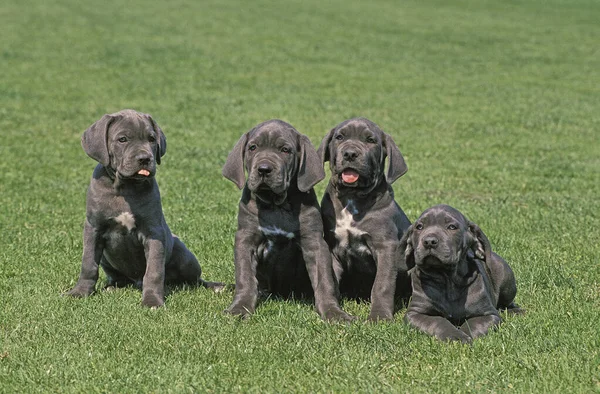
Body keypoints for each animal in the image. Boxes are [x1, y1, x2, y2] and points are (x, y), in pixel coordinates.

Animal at [64, 108, 223, 308]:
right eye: (122, 139)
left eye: (151, 139)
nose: (145, 158)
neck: (125, 186)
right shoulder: (93, 228)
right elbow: (88, 263)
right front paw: (80, 292)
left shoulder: (153, 232)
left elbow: (154, 271)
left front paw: (152, 301)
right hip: (107, 260)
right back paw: (113, 287)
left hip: (185, 256)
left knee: (194, 280)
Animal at [223, 119, 354, 320]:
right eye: (253, 147)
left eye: (285, 150)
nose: (264, 169)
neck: (276, 204)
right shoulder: (246, 239)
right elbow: (245, 277)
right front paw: (240, 308)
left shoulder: (314, 242)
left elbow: (324, 280)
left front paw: (333, 312)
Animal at [318, 116, 412, 320]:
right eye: (339, 137)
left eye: (370, 140)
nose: (350, 154)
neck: (351, 196)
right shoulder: (331, 247)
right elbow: (330, 281)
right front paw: (334, 312)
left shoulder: (386, 247)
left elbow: (382, 284)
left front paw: (379, 316)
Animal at [400, 205, 524, 344]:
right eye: (419, 227)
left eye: (452, 227)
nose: (429, 241)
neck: (448, 279)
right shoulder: (415, 313)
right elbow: (437, 321)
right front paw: (456, 336)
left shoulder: (488, 314)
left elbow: (473, 324)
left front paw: (463, 335)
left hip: (505, 276)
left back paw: (516, 311)